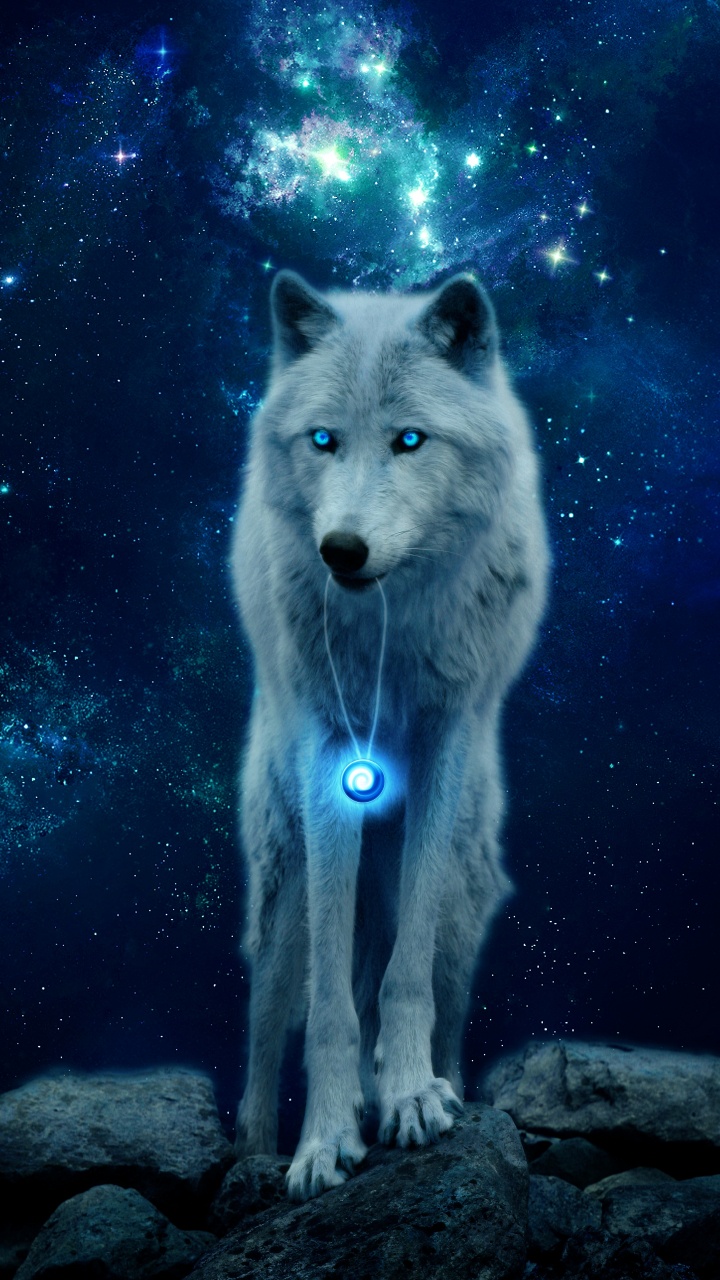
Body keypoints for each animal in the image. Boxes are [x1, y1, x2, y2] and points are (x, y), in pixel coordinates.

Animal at [231, 269, 549, 1201]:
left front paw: (409, 1097)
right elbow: (330, 1011)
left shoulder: (445, 741)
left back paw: (431, 1086)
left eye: (411, 440)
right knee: (267, 1022)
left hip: (466, 895)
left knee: (433, 991)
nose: (341, 549)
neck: (388, 627)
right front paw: (323, 1142)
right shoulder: (333, 756)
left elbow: (403, 984)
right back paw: (255, 1149)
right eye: (323, 440)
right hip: (283, 879)